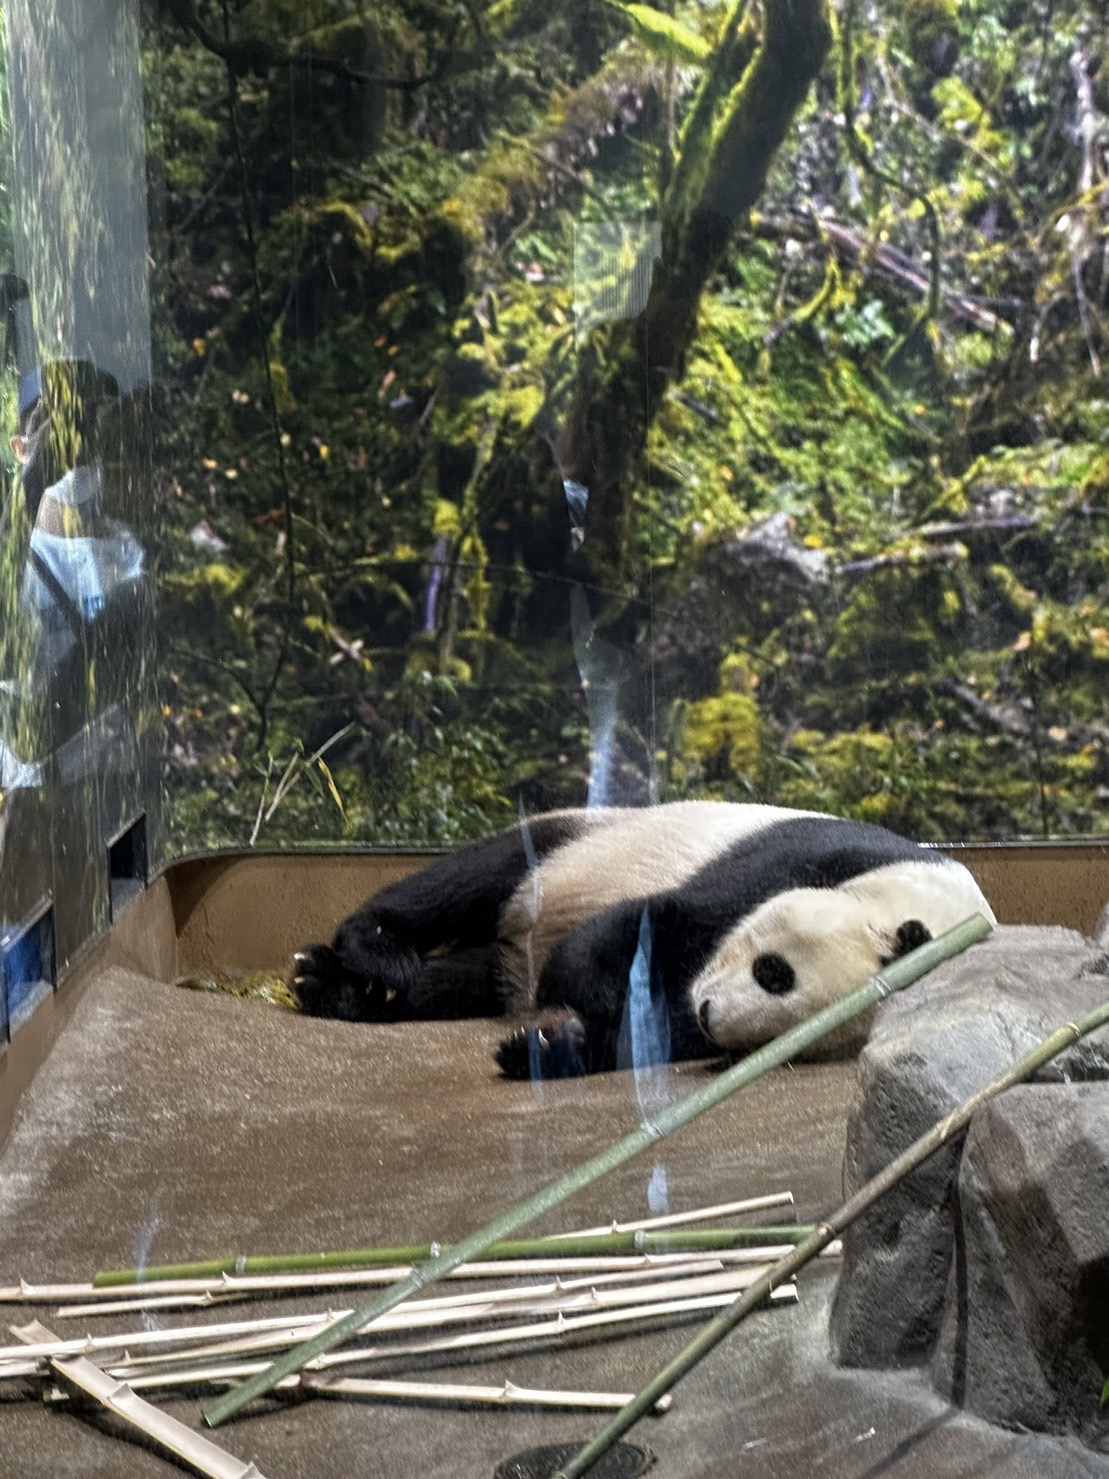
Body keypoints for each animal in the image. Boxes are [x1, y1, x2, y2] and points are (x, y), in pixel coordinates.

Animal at [291, 810, 993, 1076]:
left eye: (790, 1037)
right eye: (774, 972)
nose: (710, 1011)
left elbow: (654, 1040)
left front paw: (553, 1044)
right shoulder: (811, 861)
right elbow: (656, 921)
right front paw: (582, 1004)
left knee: (469, 976)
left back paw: (353, 990)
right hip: (579, 844)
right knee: (472, 879)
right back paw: (365, 960)